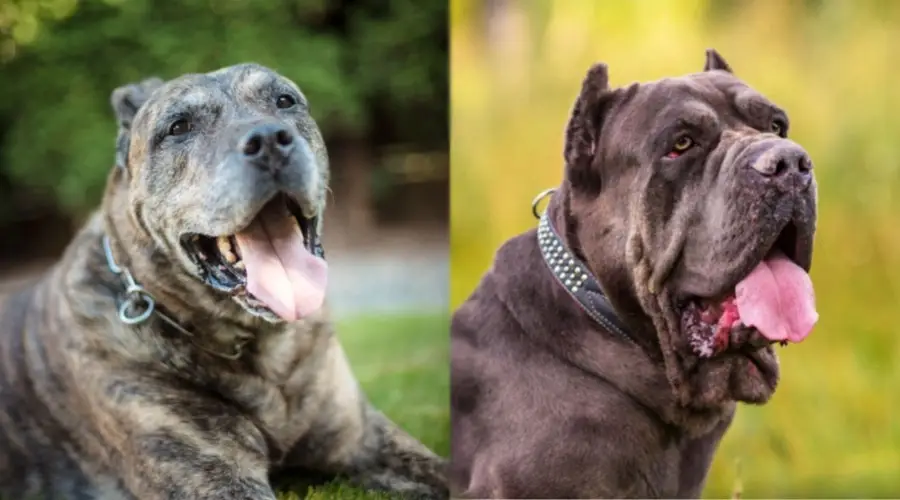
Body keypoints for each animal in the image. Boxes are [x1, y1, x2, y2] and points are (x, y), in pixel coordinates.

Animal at [0, 64, 450, 500]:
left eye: (284, 101)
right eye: (178, 127)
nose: (269, 139)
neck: (262, 348)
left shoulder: (364, 439)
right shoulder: (217, 479)